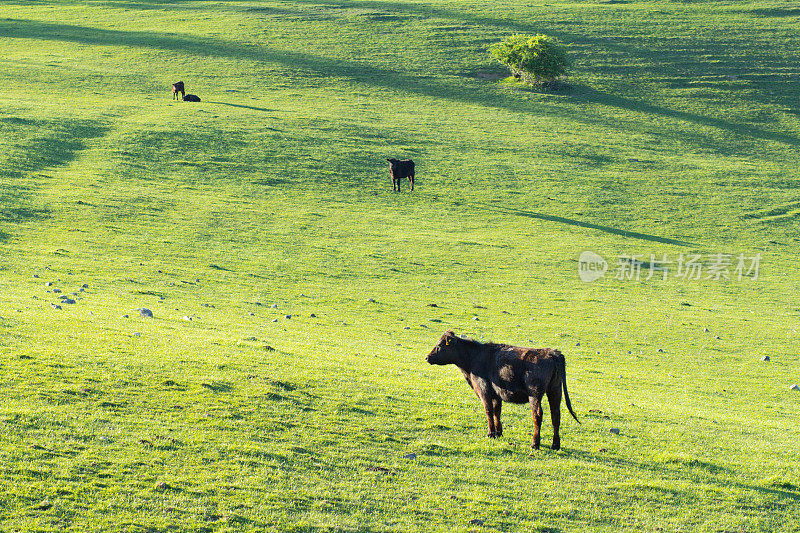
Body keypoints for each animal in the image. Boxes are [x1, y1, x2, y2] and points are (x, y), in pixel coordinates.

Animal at [424, 328, 580, 448]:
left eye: (440, 345)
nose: (427, 357)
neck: (474, 358)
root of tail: (553, 353)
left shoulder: (484, 391)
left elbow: (488, 411)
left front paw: (490, 433)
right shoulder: (496, 394)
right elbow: (497, 412)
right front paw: (499, 433)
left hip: (535, 394)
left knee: (537, 415)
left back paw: (535, 443)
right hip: (555, 390)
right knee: (556, 415)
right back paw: (555, 444)